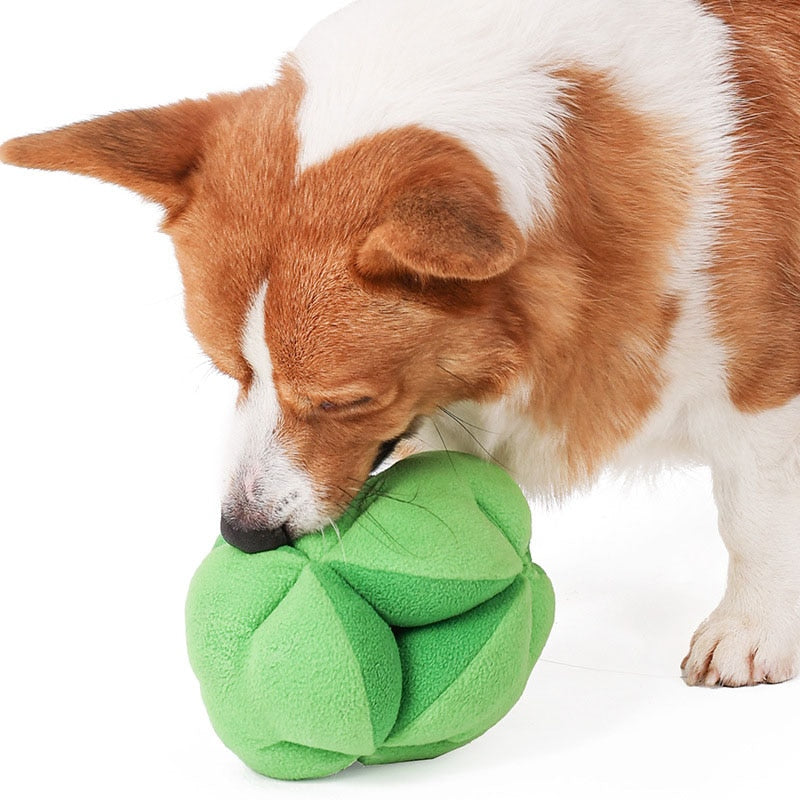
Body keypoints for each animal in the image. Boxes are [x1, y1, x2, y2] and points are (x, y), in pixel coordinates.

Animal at [1, 0, 800, 688]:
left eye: (343, 400)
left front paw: (750, 632)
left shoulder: (765, 398)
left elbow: (753, 518)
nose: (244, 536)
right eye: (230, 371)